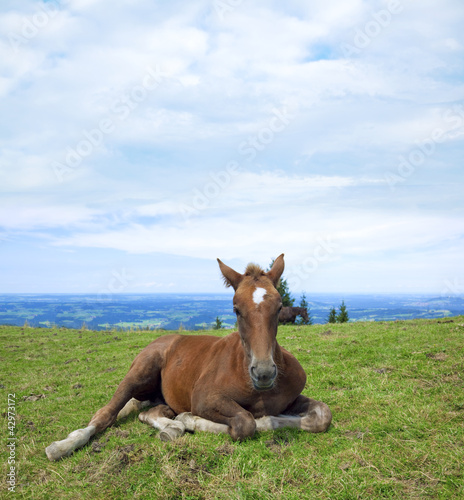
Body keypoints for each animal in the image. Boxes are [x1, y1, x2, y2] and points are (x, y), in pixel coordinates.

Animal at [46, 256, 330, 462]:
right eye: (236, 310)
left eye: (280, 307)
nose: (263, 373)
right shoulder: (203, 398)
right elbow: (245, 423)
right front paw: (191, 419)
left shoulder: (291, 398)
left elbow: (322, 416)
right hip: (140, 371)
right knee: (106, 413)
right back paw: (62, 446)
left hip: (157, 396)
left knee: (148, 413)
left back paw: (170, 428)